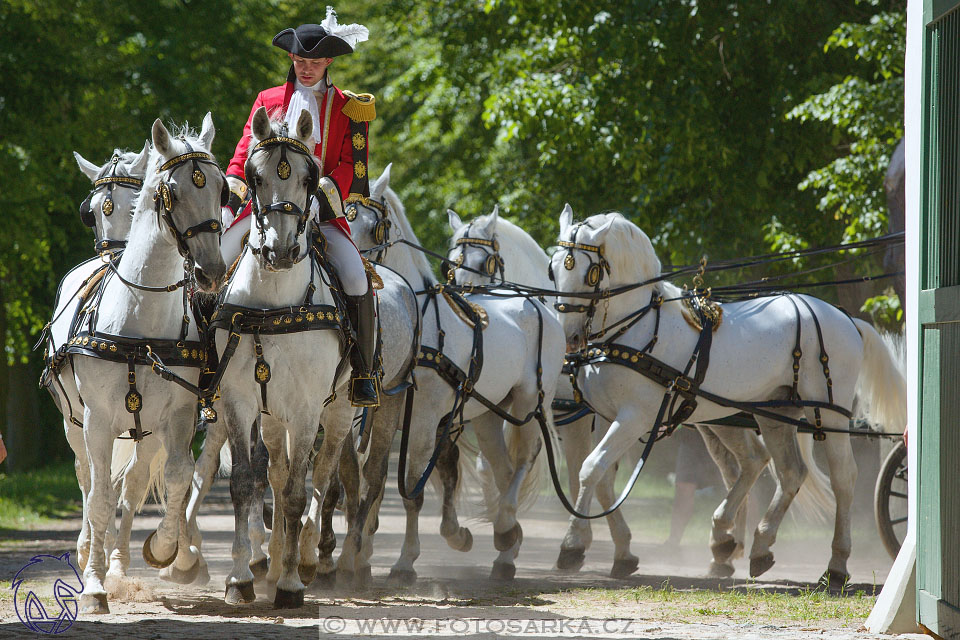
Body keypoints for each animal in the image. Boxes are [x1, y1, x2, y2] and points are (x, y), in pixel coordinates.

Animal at [68, 116, 229, 616]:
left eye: (222, 188)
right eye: (171, 192)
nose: (211, 271)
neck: (139, 319)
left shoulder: (177, 416)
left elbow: (176, 478)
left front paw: (167, 549)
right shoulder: (97, 421)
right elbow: (99, 497)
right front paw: (94, 585)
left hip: (146, 431)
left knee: (134, 485)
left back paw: (119, 565)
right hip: (74, 423)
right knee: (89, 482)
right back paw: (90, 554)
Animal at [348, 166, 568, 584]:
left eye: (372, 227)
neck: (416, 321)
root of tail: (536, 303)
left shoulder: (423, 421)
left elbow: (412, 490)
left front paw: (404, 561)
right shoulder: (393, 417)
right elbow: (380, 482)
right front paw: (363, 553)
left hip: (529, 404)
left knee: (523, 461)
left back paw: (505, 530)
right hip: (488, 415)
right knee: (502, 470)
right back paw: (506, 551)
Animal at [552, 208, 904, 584]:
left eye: (588, 272)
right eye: (554, 268)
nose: (568, 338)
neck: (637, 328)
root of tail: (846, 318)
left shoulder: (634, 417)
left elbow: (589, 469)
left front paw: (572, 544)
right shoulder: (609, 416)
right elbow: (602, 478)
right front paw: (622, 551)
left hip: (829, 411)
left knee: (843, 479)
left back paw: (836, 565)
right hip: (773, 413)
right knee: (787, 471)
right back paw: (758, 545)